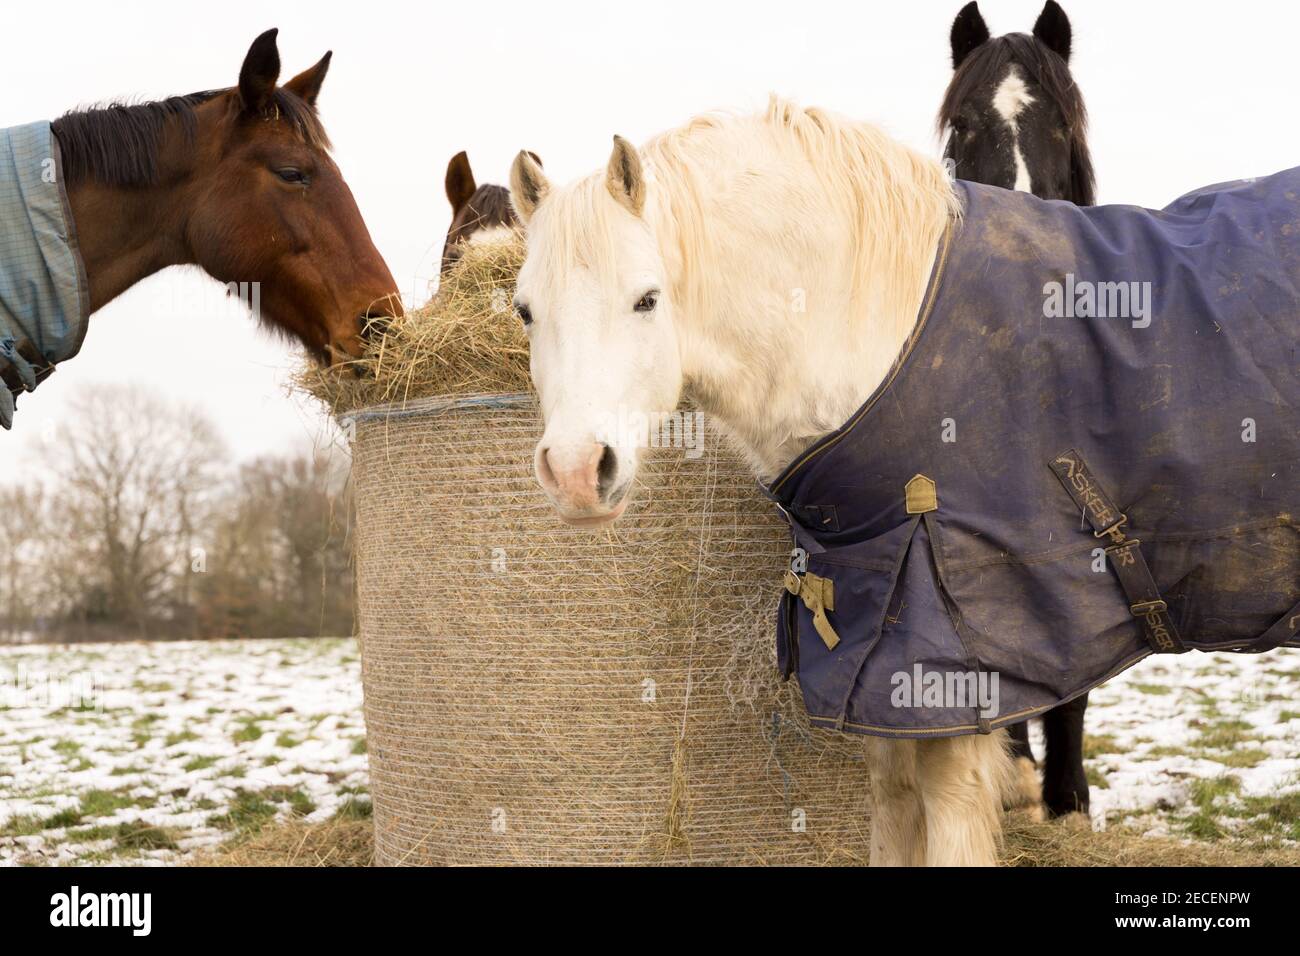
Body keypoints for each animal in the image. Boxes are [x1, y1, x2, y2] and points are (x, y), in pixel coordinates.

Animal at [509, 98, 1013, 868]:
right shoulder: (872, 663)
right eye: (525, 311)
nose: (574, 470)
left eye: (647, 299)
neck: (887, 331)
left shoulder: (951, 669)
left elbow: (949, 810)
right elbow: (893, 797)